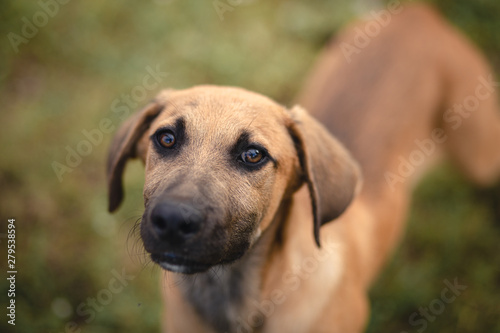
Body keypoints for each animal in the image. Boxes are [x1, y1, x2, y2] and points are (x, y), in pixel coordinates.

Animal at [106, 3, 500, 332]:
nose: (173, 220)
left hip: (480, 153)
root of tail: (420, 14)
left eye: (253, 155)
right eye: (166, 138)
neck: (235, 298)